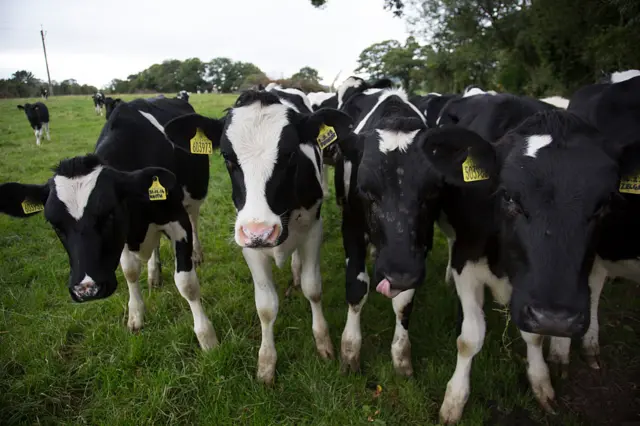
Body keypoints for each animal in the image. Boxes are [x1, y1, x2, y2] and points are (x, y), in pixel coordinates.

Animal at [0, 98, 218, 352]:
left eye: (109, 214)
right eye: (55, 225)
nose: (87, 289)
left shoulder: (177, 221)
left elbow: (186, 283)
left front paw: (207, 337)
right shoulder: (122, 236)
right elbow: (130, 271)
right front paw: (135, 315)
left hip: (194, 197)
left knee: (194, 220)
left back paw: (196, 254)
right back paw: (153, 273)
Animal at [162, 89, 352, 382]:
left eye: (290, 154)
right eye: (227, 157)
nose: (260, 231)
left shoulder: (313, 229)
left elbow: (313, 289)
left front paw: (323, 342)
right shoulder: (248, 243)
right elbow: (265, 306)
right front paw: (266, 363)